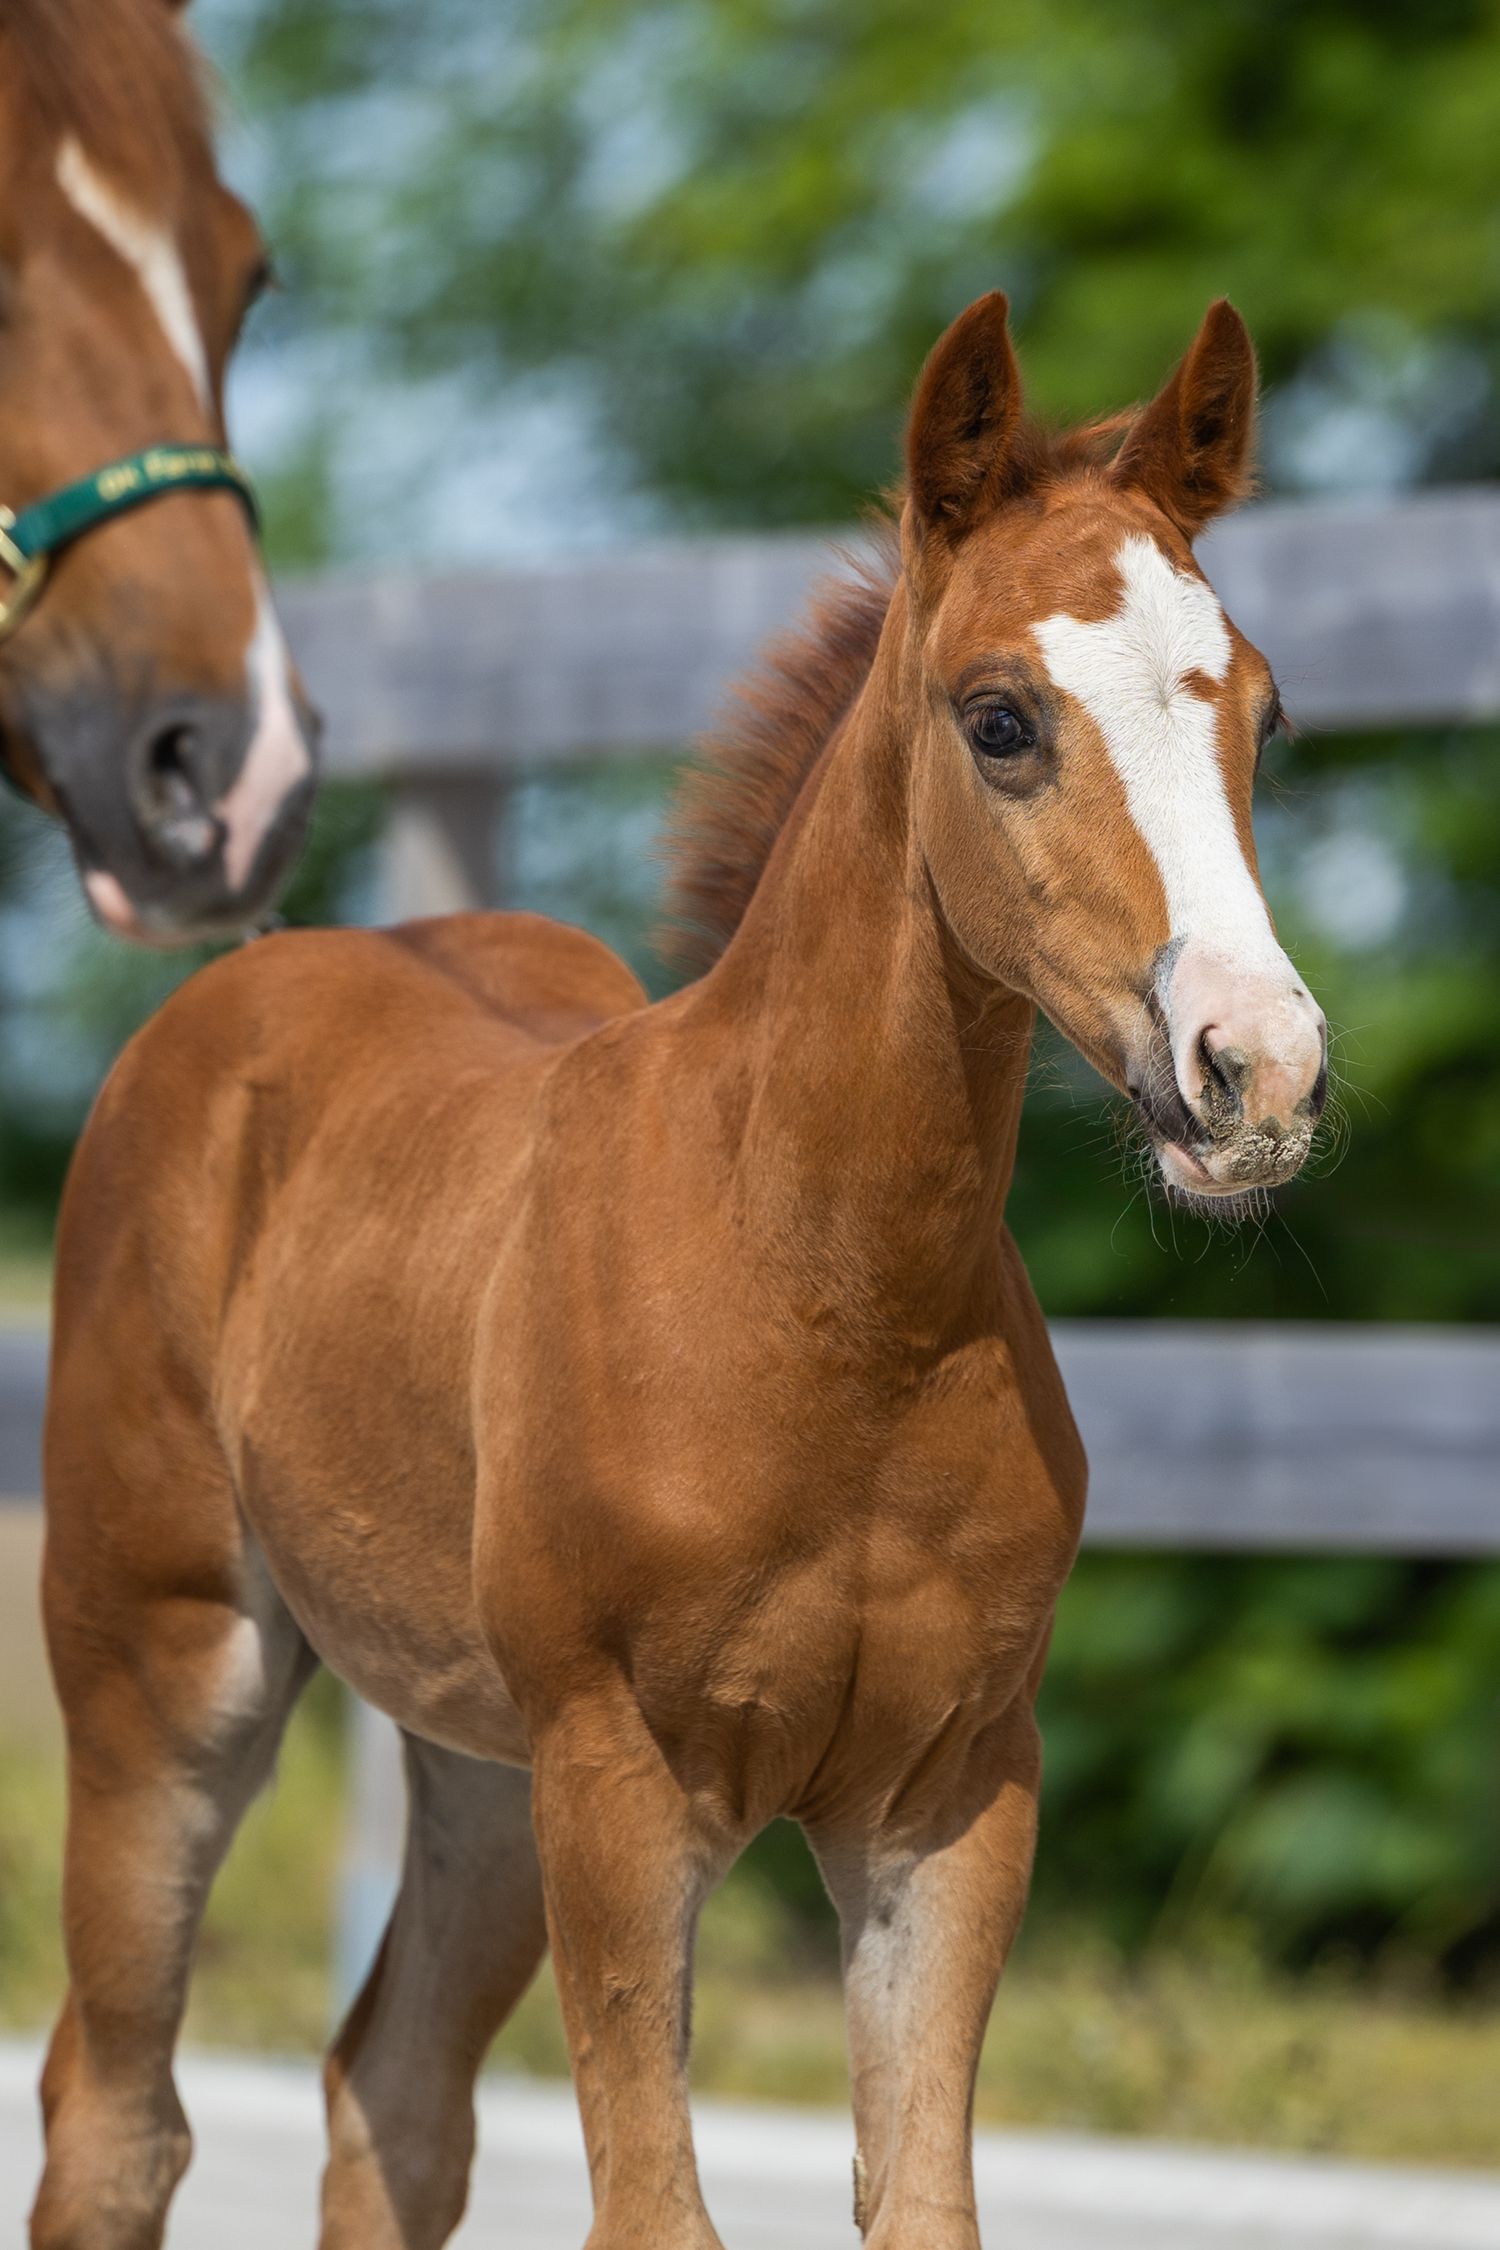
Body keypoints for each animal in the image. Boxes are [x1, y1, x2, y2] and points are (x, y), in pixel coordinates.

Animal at [33, 292, 1327, 2250]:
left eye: (1263, 709)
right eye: (1001, 720)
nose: (1257, 1067)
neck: (826, 1294)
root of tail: (257, 970)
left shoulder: (953, 1799)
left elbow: (923, 2208)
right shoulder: (624, 1783)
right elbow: (655, 2212)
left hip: (475, 1759)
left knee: (389, 2095)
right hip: (170, 1671)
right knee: (114, 2115)